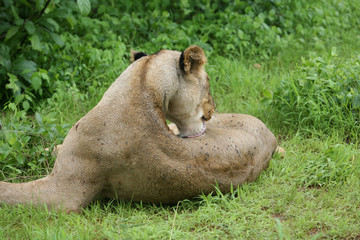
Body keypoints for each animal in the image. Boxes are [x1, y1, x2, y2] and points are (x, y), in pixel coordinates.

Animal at [0, 45, 278, 212]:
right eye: (208, 82)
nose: (212, 111)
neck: (143, 84)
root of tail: (271, 135)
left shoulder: (65, 192)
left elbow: (9, 192)